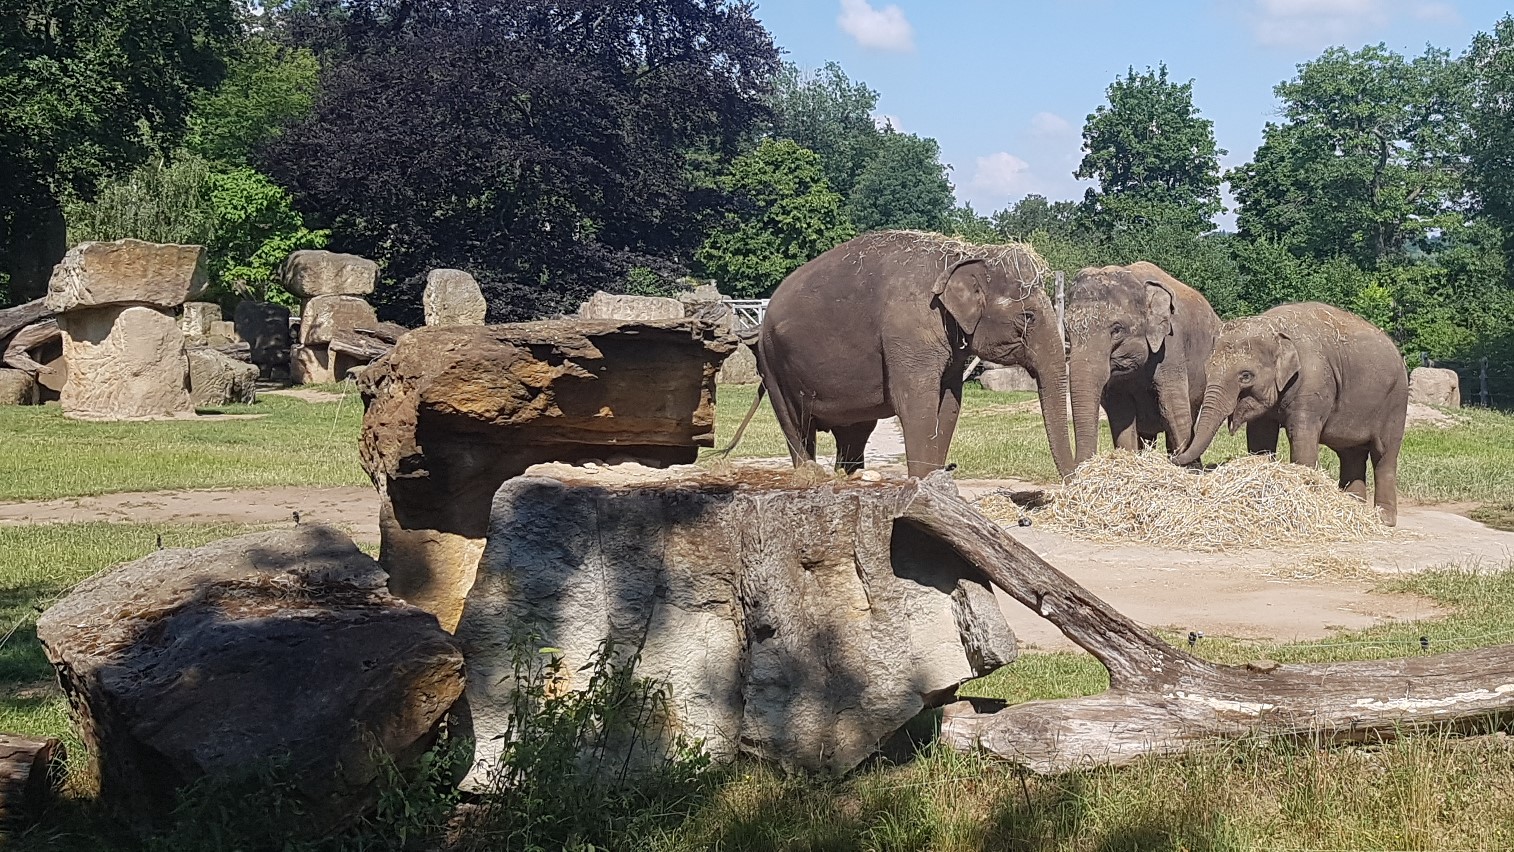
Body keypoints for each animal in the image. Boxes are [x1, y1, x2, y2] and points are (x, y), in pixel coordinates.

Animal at [728, 230, 1073, 478]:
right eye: (1028, 317)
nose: (1072, 481)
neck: (961, 255)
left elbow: (950, 404)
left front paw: (937, 482)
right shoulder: (908, 334)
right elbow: (915, 403)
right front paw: (923, 486)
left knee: (854, 431)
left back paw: (848, 476)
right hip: (772, 363)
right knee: (795, 423)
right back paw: (810, 475)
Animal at [1066, 262, 1222, 467]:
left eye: (1117, 330)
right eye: (1066, 330)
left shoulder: (1171, 345)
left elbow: (1173, 407)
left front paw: (1190, 469)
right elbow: (1121, 410)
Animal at [1170, 302, 1409, 525]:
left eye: (1245, 376)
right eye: (1207, 369)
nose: (1175, 455)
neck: (1274, 327)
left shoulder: (1313, 382)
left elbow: (1301, 437)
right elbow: (1260, 436)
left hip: (1396, 403)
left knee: (1384, 455)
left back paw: (1383, 519)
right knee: (1351, 454)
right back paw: (1354, 511)